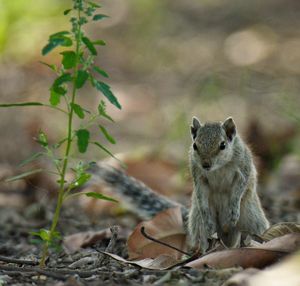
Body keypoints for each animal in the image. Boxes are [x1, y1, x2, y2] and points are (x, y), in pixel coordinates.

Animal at [86, 116, 270, 252]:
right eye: (195, 145)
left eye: (223, 145)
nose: (206, 164)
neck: (219, 167)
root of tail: (226, 234)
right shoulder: (198, 175)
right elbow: (201, 193)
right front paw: (207, 216)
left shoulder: (243, 168)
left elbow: (240, 186)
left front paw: (233, 209)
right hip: (198, 224)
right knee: (203, 237)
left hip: (252, 219)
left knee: (255, 232)